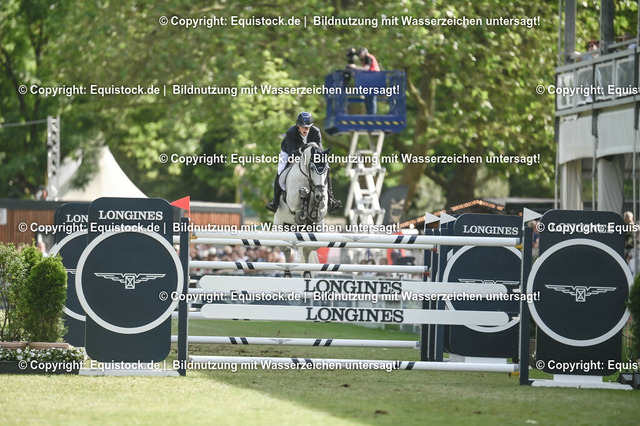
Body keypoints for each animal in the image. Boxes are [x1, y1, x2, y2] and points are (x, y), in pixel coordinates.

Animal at [273, 142, 330, 271]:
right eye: (312, 167)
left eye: (327, 168)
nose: (320, 195)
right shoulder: (292, 202)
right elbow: (300, 206)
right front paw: (304, 194)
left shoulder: (322, 210)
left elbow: (317, 211)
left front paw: (314, 202)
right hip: (280, 228)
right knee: (286, 250)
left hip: (318, 235)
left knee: (307, 249)